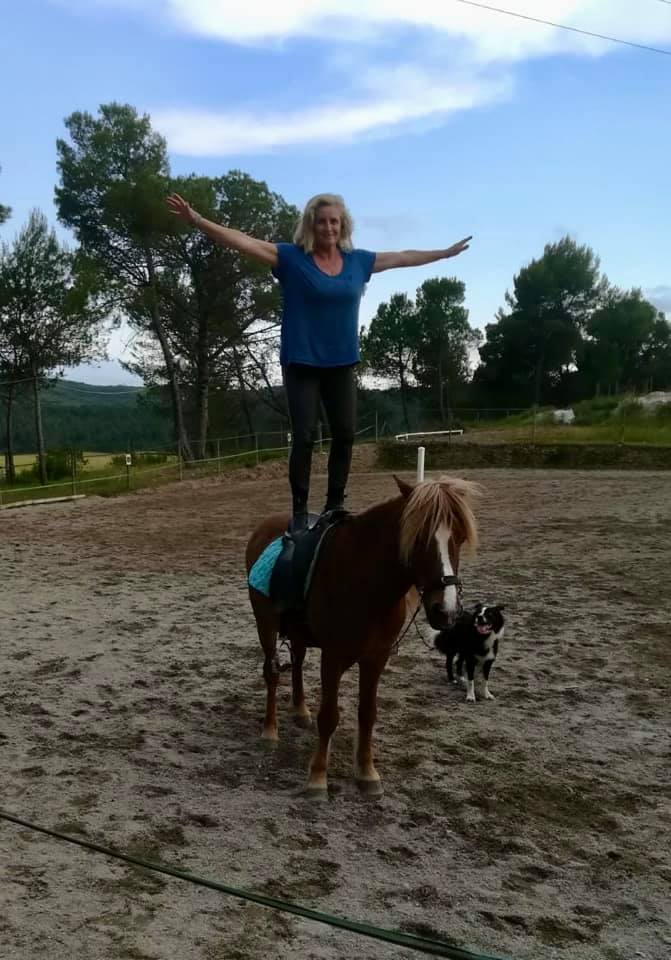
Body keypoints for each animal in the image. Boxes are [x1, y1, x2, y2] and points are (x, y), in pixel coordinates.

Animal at [244, 475, 479, 796]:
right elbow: (329, 716)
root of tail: (265, 527)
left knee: (298, 663)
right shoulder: (333, 657)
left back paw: (300, 710)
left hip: (299, 633)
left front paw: (367, 773)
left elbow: (368, 714)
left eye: (460, 537)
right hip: (265, 626)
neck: (366, 581)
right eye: (418, 538)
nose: (446, 610)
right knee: (271, 673)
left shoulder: (376, 658)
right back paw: (270, 731)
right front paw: (318, 776)